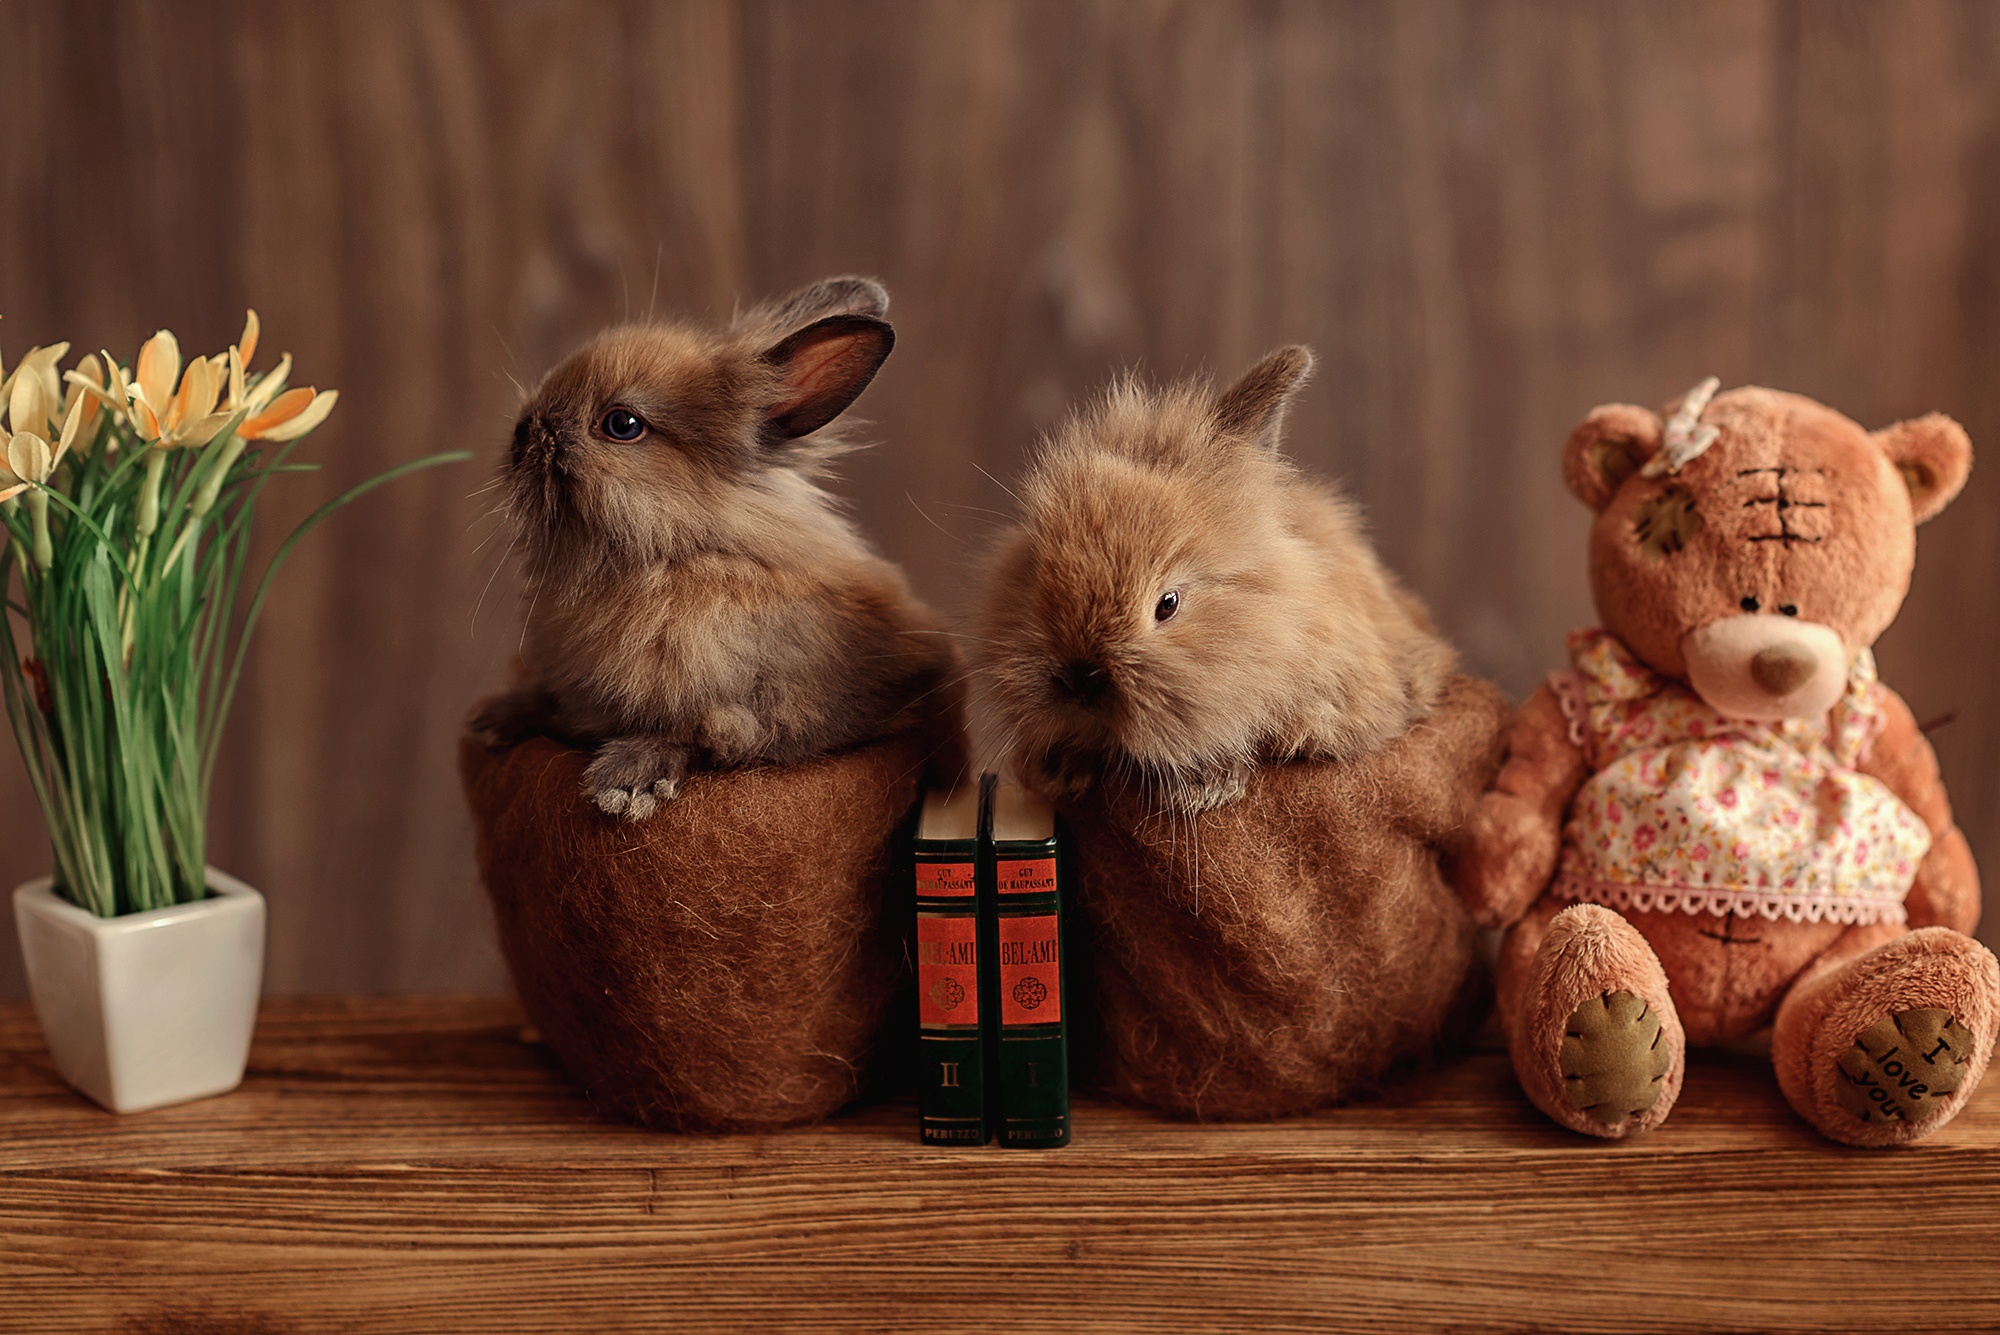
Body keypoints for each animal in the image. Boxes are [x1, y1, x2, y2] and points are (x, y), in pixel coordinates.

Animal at [472, 273, 964, 815]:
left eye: (622, 425)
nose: (521, 433)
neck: (678, 555)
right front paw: (492, 721)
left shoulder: (765, 710)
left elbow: (701, 732)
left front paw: (626, 784)